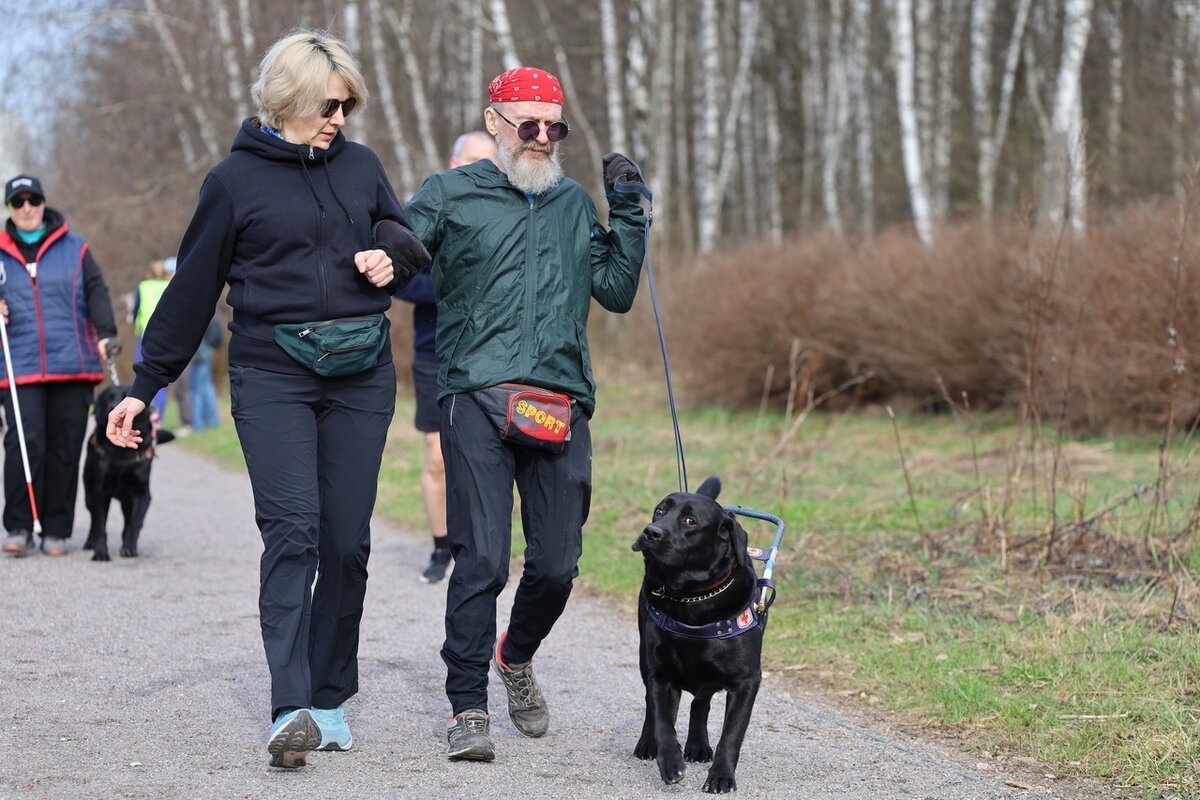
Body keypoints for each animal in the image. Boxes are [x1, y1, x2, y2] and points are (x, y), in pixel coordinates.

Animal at [82, 383, 175, 563]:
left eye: (126, 396)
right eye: (108, 398)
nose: (113, 408)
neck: (121, 454)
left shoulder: (142, 494)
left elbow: (135, 523)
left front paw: (129, 547)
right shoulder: (100, 492)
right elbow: (100, 525)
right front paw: (101, 553)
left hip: (127, 500)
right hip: (89, 493)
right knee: (93, 521)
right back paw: (90, 543)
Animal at [633, 474, 763, 796]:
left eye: (690, 521)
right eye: (659, 511)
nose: (650, 531)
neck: (692, 598)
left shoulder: (747, 681)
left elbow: (732, 734)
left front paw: (721, 776)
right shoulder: (660, 673)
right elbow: (663, 721)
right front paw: (670, 763)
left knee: (700, 703)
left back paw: (698, 745)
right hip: (644, 658)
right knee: (651, 704)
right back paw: (648, 743)